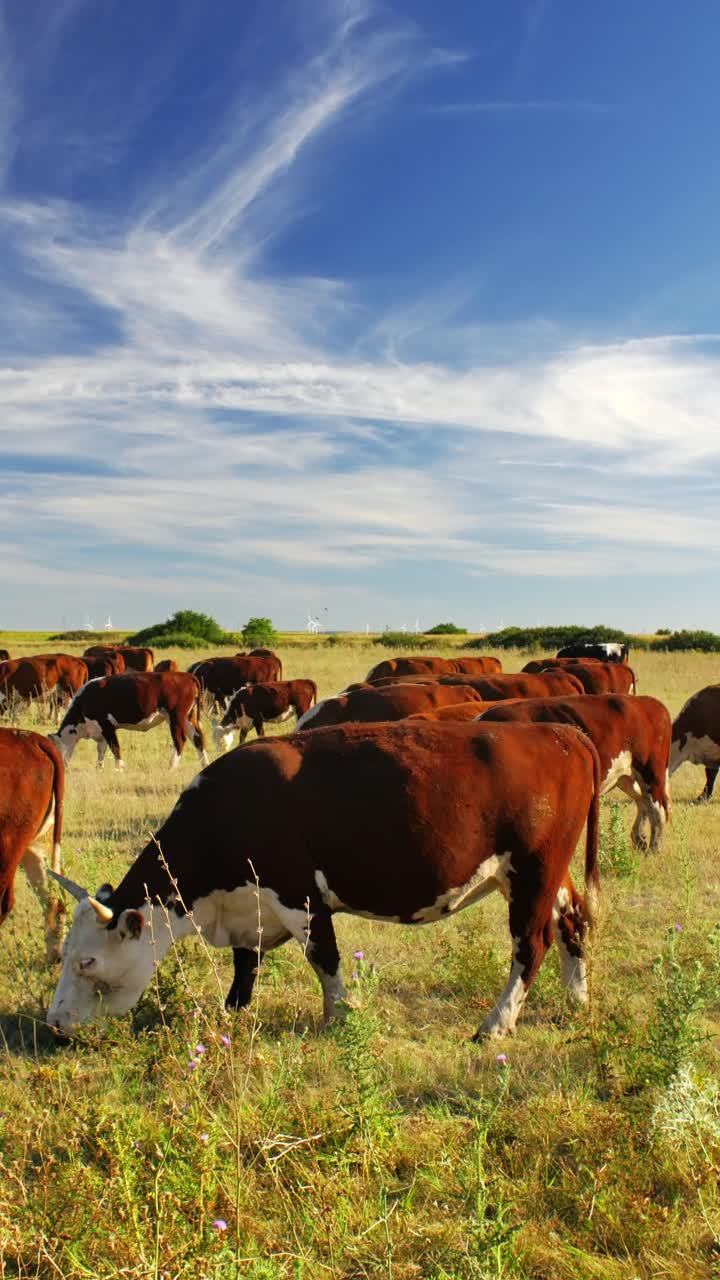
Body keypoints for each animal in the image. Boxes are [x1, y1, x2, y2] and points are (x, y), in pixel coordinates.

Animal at [47, 719, 600, 1040]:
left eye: (87, 961)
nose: (53, 1023)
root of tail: (562, 734)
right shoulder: (250, 906)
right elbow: (245, 968)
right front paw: (232, 1015)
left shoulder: (300, 897)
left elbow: (324, 959)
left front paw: (339, 1017)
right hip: (536, 875)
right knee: (572, 920)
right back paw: (576, 1000)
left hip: (533, 871)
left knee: (530, 944)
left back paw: (495, 1025)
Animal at [52, 672, 208, 770]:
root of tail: (186, 676)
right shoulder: (100, 731)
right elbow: (101, 749)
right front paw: (99, 768)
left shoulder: (106, 725)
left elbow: (115, 747)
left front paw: (119, 767)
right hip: (188, 717)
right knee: (198, 738)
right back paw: (204, 764)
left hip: (176, 717)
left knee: (180, 740)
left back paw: (172, 766)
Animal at [477, 695, 671, 851]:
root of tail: (648, 702)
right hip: (625, 776)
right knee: (642, 801)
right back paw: (640, 840)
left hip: (651, 772)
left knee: (657, 811)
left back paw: (654, 850)